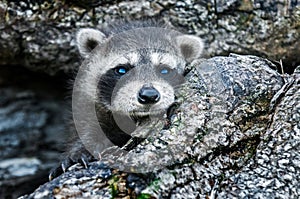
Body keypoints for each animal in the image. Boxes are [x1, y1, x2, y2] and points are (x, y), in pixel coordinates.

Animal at [49, 19, 204, 179]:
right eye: (122, 69)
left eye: (164, 70)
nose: (149, 95)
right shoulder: (87, 101)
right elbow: (86, 127)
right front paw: (79, 150)